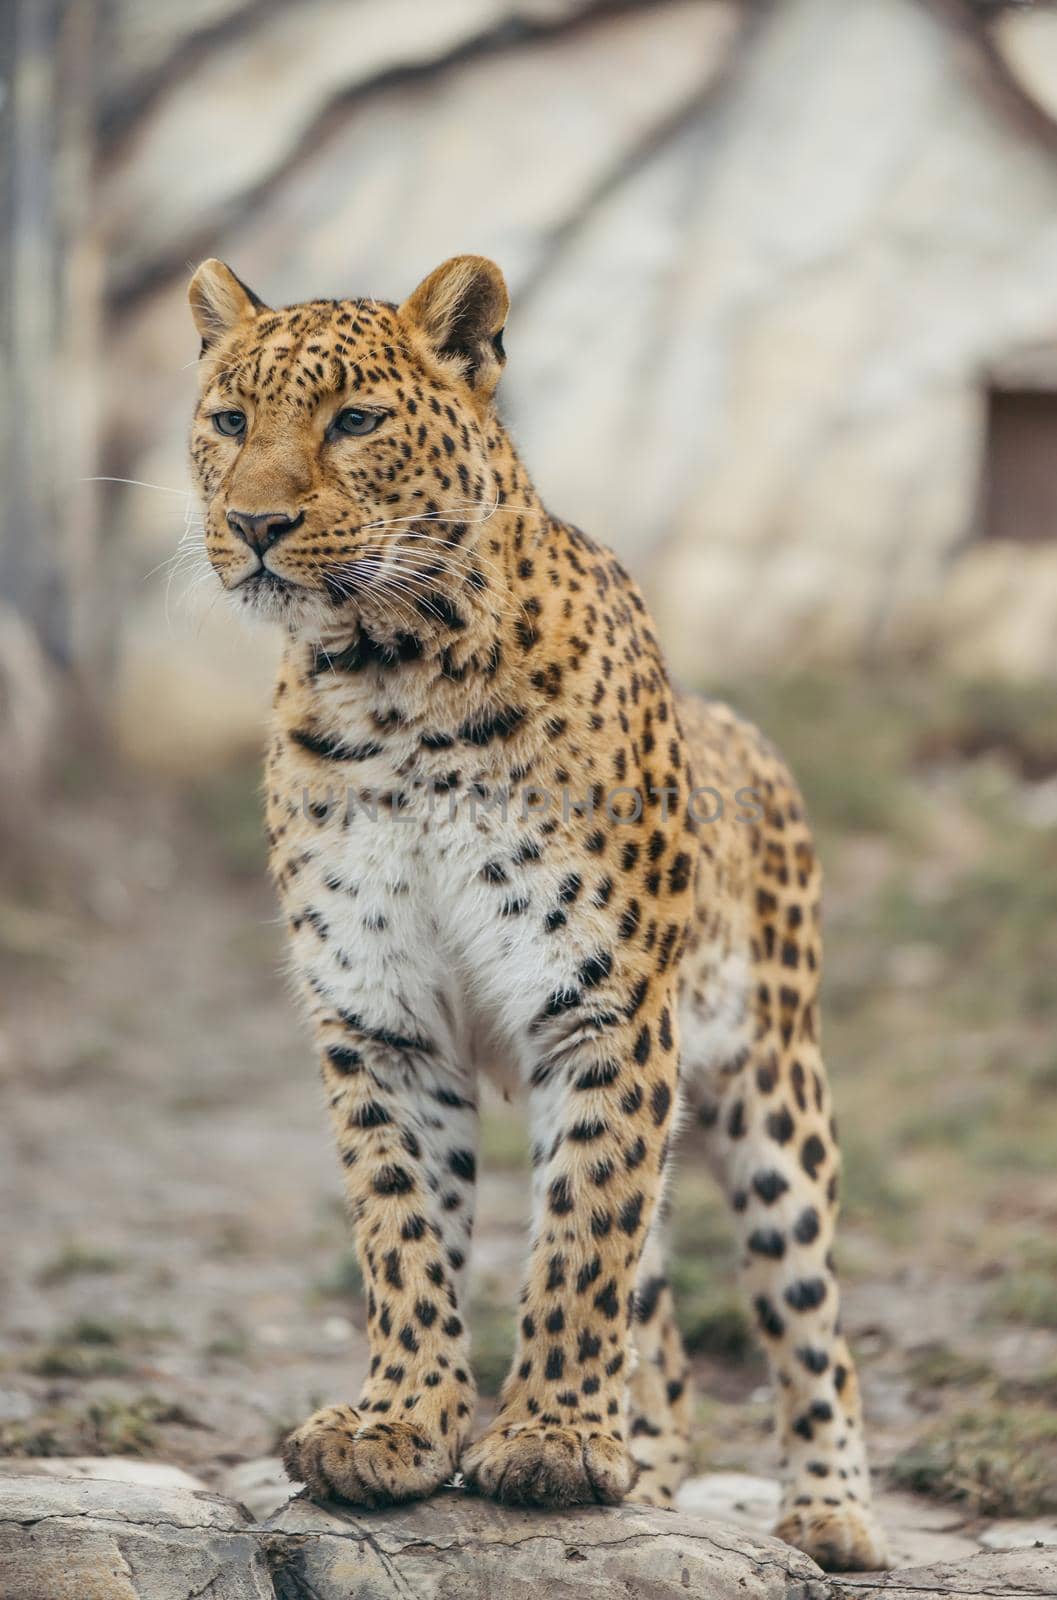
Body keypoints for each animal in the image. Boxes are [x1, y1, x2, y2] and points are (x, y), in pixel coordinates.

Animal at [185, 256, 889, 1568]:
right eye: (228, 421)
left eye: (354, 422)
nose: (255, 524)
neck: (389, 682)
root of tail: (747, 734)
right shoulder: (379, 1019)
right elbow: (403, 1229)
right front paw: (400, 1426)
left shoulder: (602, 1008)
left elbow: (580, 1239)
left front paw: (552, 1438)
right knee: (666, 1334)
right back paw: (649, 1465)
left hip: (778, 1101)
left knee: (808, 1320)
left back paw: (828, 1511)